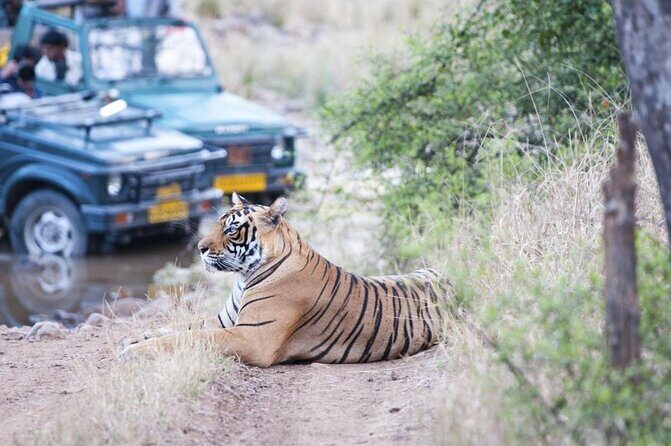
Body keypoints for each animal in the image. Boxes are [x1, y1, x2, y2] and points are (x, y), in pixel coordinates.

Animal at [119, 193, 453, 367]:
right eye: (216, 223)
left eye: (231, 229)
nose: (199, 248)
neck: (244, 276)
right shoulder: (226, 321)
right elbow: (177, 327)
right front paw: (131, 338)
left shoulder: (250, 337)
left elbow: (190, 337)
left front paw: (133, 352)